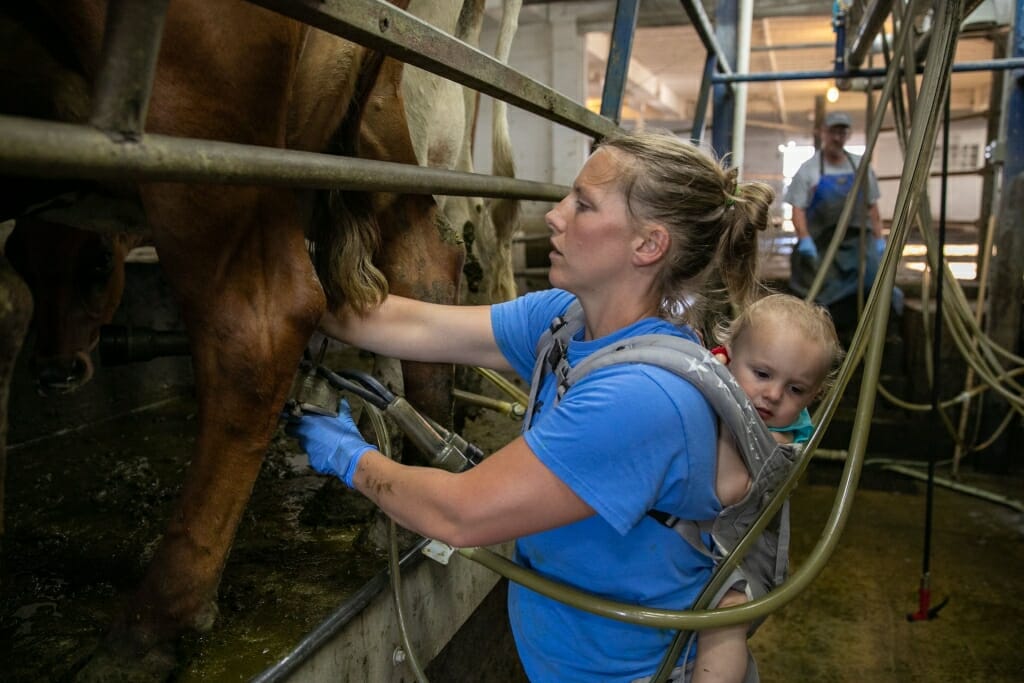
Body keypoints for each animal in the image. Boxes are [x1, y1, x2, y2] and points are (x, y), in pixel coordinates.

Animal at [0, 0, 516, 679]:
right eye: (27, 261)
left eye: (98, 266)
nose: (57, 372)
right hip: (379, 123)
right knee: (423, 259)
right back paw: (415, 484)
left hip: (199, 123)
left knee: (262, 324)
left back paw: (147, 627)